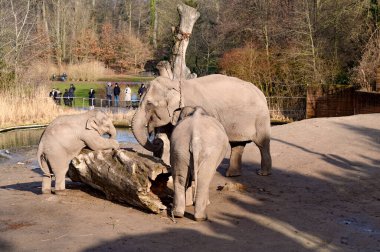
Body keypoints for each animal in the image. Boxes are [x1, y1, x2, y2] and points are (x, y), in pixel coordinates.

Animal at [132, 74, 272, 176]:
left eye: (149, 104)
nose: (155, 141)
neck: (175, 83)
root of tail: (261, 93)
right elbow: (168, 134)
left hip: (260, 119)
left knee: (262, 144)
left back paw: (262, 173)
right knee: (237, 144)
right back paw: (232, 175)